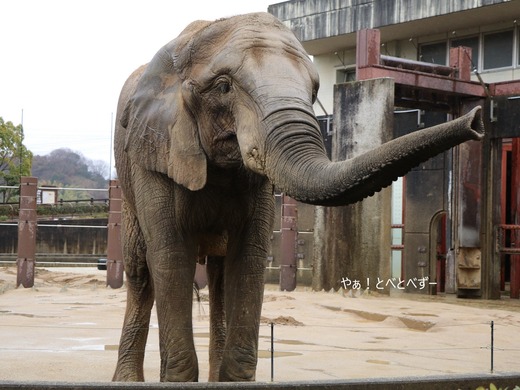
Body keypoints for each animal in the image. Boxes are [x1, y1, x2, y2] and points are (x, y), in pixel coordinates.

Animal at [111, 11, 486, 380]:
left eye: (314, 89)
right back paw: (127, 378)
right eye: (223, 87)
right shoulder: (155, 153)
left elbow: (248, 259)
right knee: (141, 270)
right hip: (128, 188)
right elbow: (172, 255)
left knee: (218, 274)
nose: (477, 120)